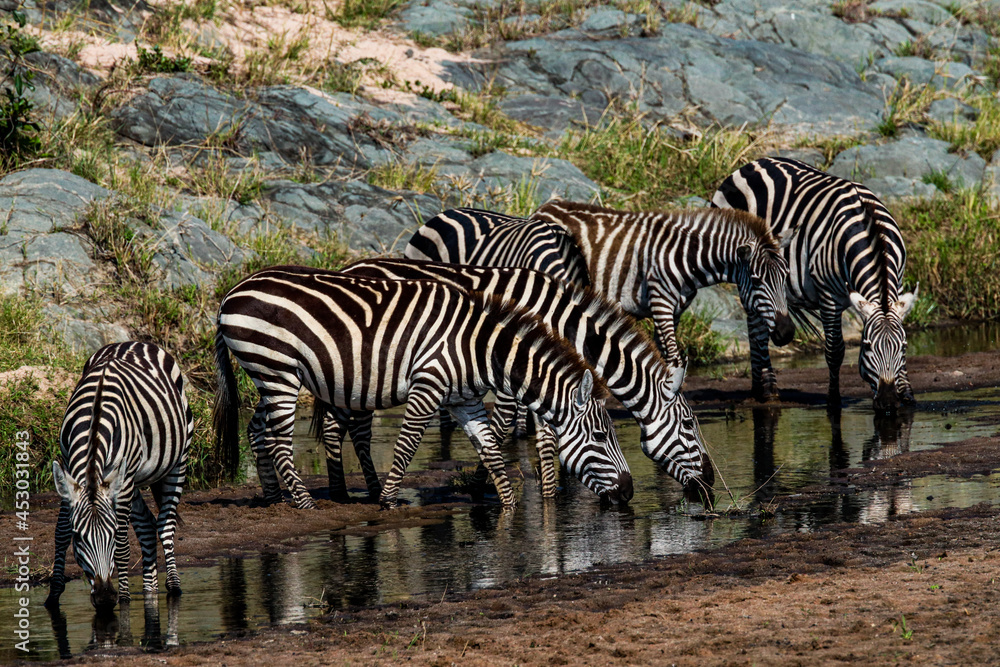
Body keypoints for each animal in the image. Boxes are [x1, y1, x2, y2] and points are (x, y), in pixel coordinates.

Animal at [44, 341, 194, 611]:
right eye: (78, 537)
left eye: (112, 535)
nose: (105, 598)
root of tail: (135, 342)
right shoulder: (70, 473)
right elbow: (60, 532)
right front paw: (53, 595)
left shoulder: (122, 483)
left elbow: (124, 545)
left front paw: (123, 598)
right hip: (128, 479)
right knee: (147, 524)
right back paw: (150, 589)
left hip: (177, 459)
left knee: (165, 523)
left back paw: (173, 586)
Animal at [214, 267, 632, 511]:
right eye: (600, 436)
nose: (629, 491)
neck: (478, 348)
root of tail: (230, 294)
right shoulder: (427, 387)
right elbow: (406, 447)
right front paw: (387, 501)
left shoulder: (465, 401)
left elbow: (491, 452)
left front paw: (508, 506)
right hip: (278, 369)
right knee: (278, 438)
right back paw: (303, 502)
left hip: (267, 374)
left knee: (257, 429)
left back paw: (272, 497)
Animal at [330, 258, 713, 502]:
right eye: (689, 424)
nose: (711, 483)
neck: (563, 323)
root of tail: (350, 267)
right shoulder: (513, 370)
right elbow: (506, 428)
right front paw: (487, 484)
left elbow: (542, 435)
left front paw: (547, 491)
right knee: (347, 427)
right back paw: (350, 492)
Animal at [711, 157, 917, 412]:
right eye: (868, 346)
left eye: (904, 348)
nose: (888, 403)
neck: (870, 232)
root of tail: (754, 163)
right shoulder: (828, 296)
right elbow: (835, 351)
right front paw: (833, 401)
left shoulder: (898, 283)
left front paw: (906, 393)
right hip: (747, 276)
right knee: (756, 329)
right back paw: (766, 389)